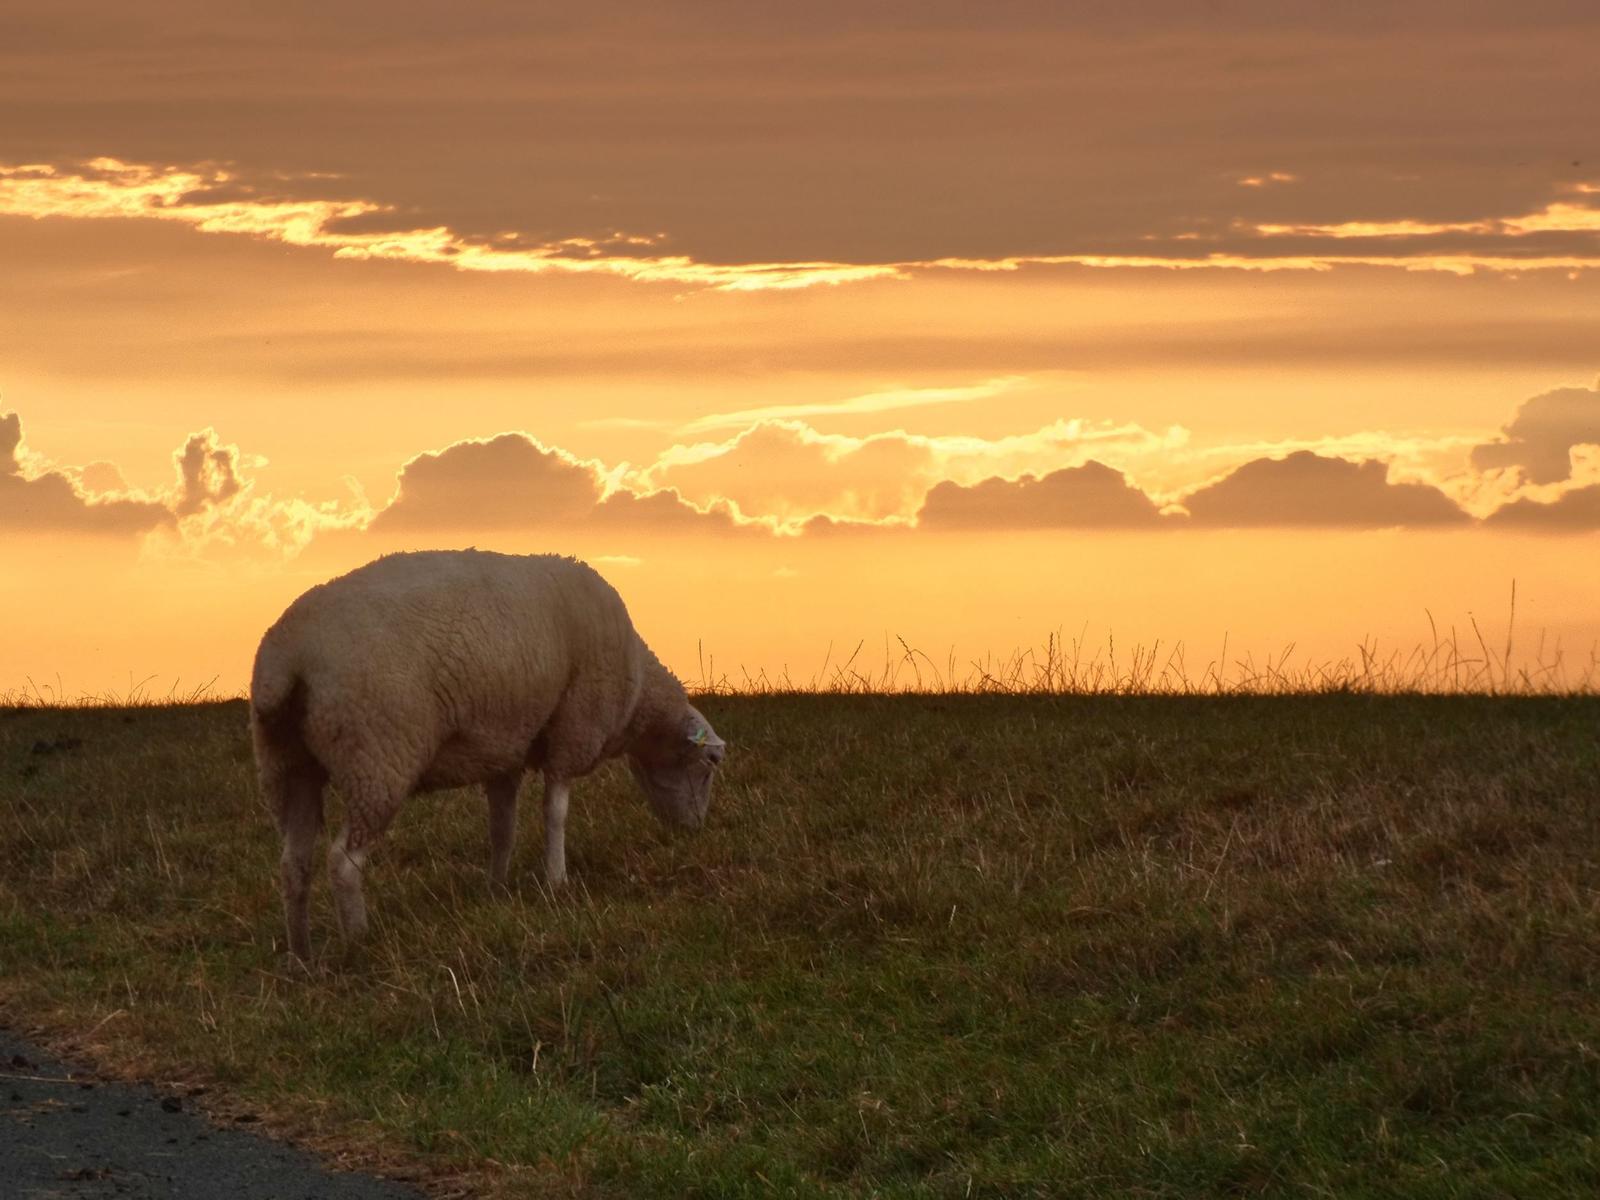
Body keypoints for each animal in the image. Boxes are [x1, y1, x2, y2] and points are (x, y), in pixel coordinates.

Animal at [249, 549, 726, 960]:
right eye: (710, 766)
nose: (695, 831)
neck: (638, 700)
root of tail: (286, 661)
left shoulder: (504, 750)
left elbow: (502, 829)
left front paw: (496, 889)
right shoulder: (572, 732)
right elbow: (556, 814)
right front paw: (557, 881)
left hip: (286, 766)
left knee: (293, 865)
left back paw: (301, 957)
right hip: (377, 757)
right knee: (343, 863)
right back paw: (358, 943)